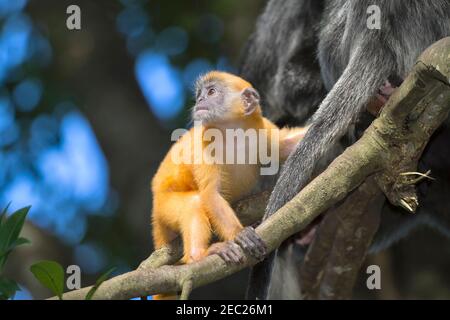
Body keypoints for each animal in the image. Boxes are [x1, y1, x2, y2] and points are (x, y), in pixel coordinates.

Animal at [151, 71, 306, 266]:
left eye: (211, 92)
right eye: (200, 94)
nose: (200, 99)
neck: (234, 133)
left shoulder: (262, 128)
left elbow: (287, 146)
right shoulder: (203, 143)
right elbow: (211, 192)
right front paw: (239, 234)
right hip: (163, 205)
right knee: (194, 202)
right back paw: (198, 256)